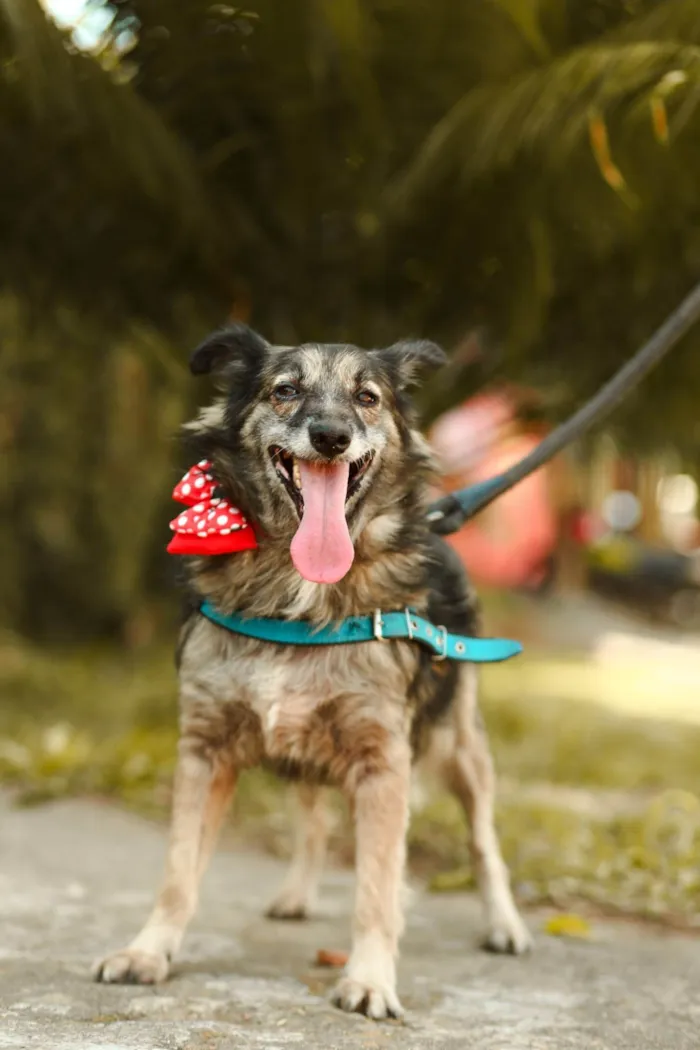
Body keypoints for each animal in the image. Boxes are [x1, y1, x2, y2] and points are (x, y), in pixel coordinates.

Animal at [94, 325, 531, 1016]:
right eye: (285, 391)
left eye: (368, 397)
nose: (330, 436)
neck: (300, 588)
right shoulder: (203, 749)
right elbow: (179, 872)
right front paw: (148, 951)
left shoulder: (384, 764)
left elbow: (376, 886)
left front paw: (371, 977)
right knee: (314, 817)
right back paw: (296, 894)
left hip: (458, 745)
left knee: (483, 840)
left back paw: (504, 924)